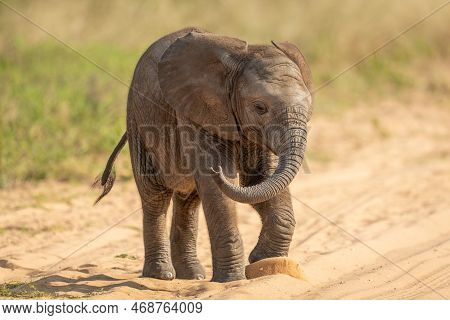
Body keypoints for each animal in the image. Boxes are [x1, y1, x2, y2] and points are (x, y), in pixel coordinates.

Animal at [95, 28, 312, 282]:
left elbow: (258, 182)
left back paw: (192, 276)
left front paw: (264, 262)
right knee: (155, 197)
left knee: (188, 200)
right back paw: (161, 275)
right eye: (260, 108)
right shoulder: (195, 112)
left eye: (309, 107)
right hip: (138, 123)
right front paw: (232, 280)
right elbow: (218, 188)